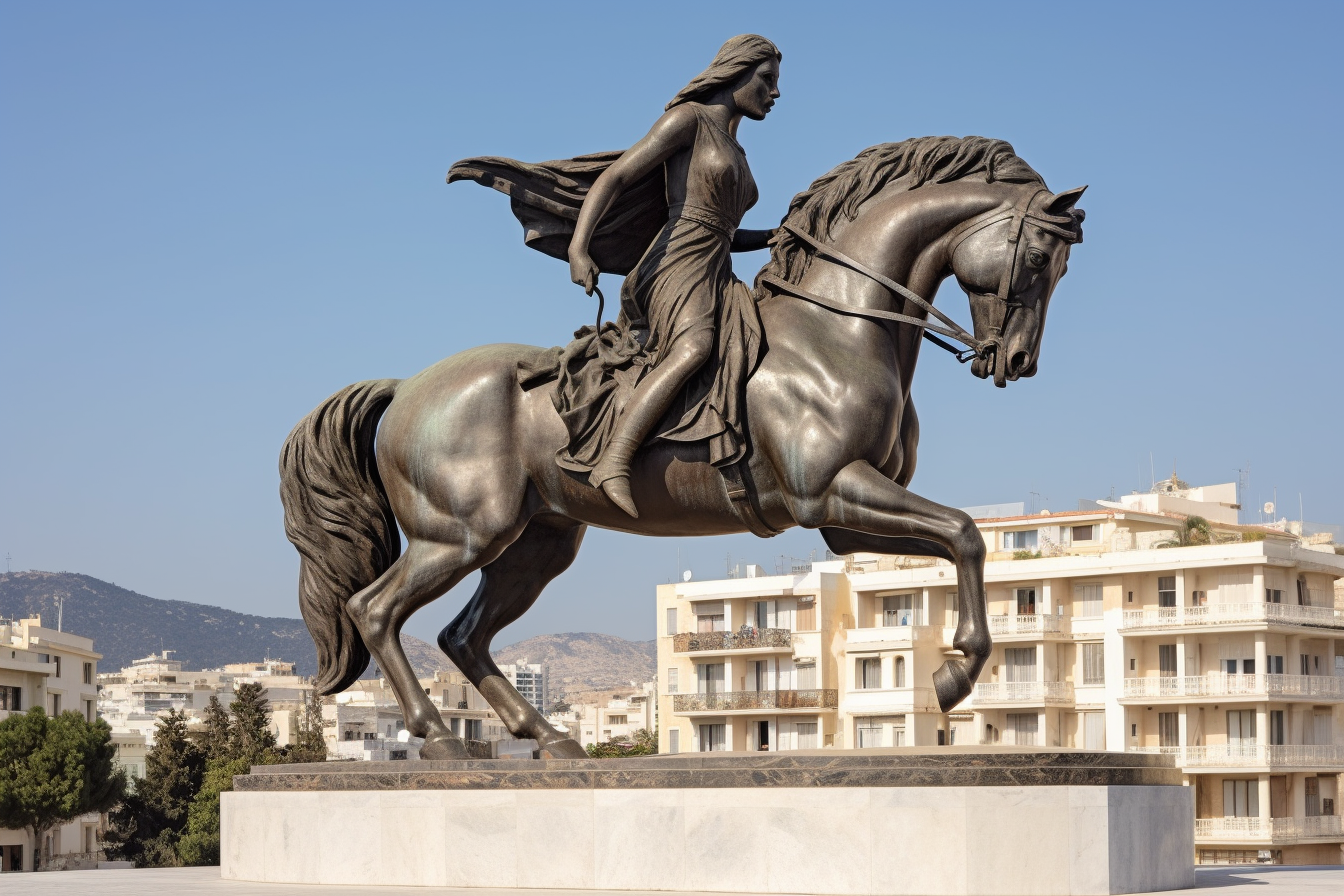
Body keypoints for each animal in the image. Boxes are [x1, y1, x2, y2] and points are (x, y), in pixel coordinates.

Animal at [280, 137, 1080, 763]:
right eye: (1040, 256)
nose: (1015, 361)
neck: (837, 330)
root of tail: (406, 389)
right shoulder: (831, 491)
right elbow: (967, 533)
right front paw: (955, 674)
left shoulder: (839, 519)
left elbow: (959, 539)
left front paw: (956, 669)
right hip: (461, 534)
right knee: (375, 610)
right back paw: (442, 735)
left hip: (536, 543)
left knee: (462, 637)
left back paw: (548, 737)